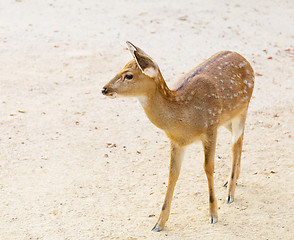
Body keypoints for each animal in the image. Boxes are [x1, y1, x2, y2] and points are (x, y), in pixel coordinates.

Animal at [101, 41, 253, 231]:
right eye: (121, 67)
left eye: (128, 75)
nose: (104, 89)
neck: (184, 116)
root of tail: (244, 59)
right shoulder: (176, 141)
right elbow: (173, 173)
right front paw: (159, 222)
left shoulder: (210, 128)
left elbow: (208, 167)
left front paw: (213, 215)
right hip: (227, 118)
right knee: (238, 138)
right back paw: (230, 182)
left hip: (242, 108)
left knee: (236, 142)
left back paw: (230, 192)